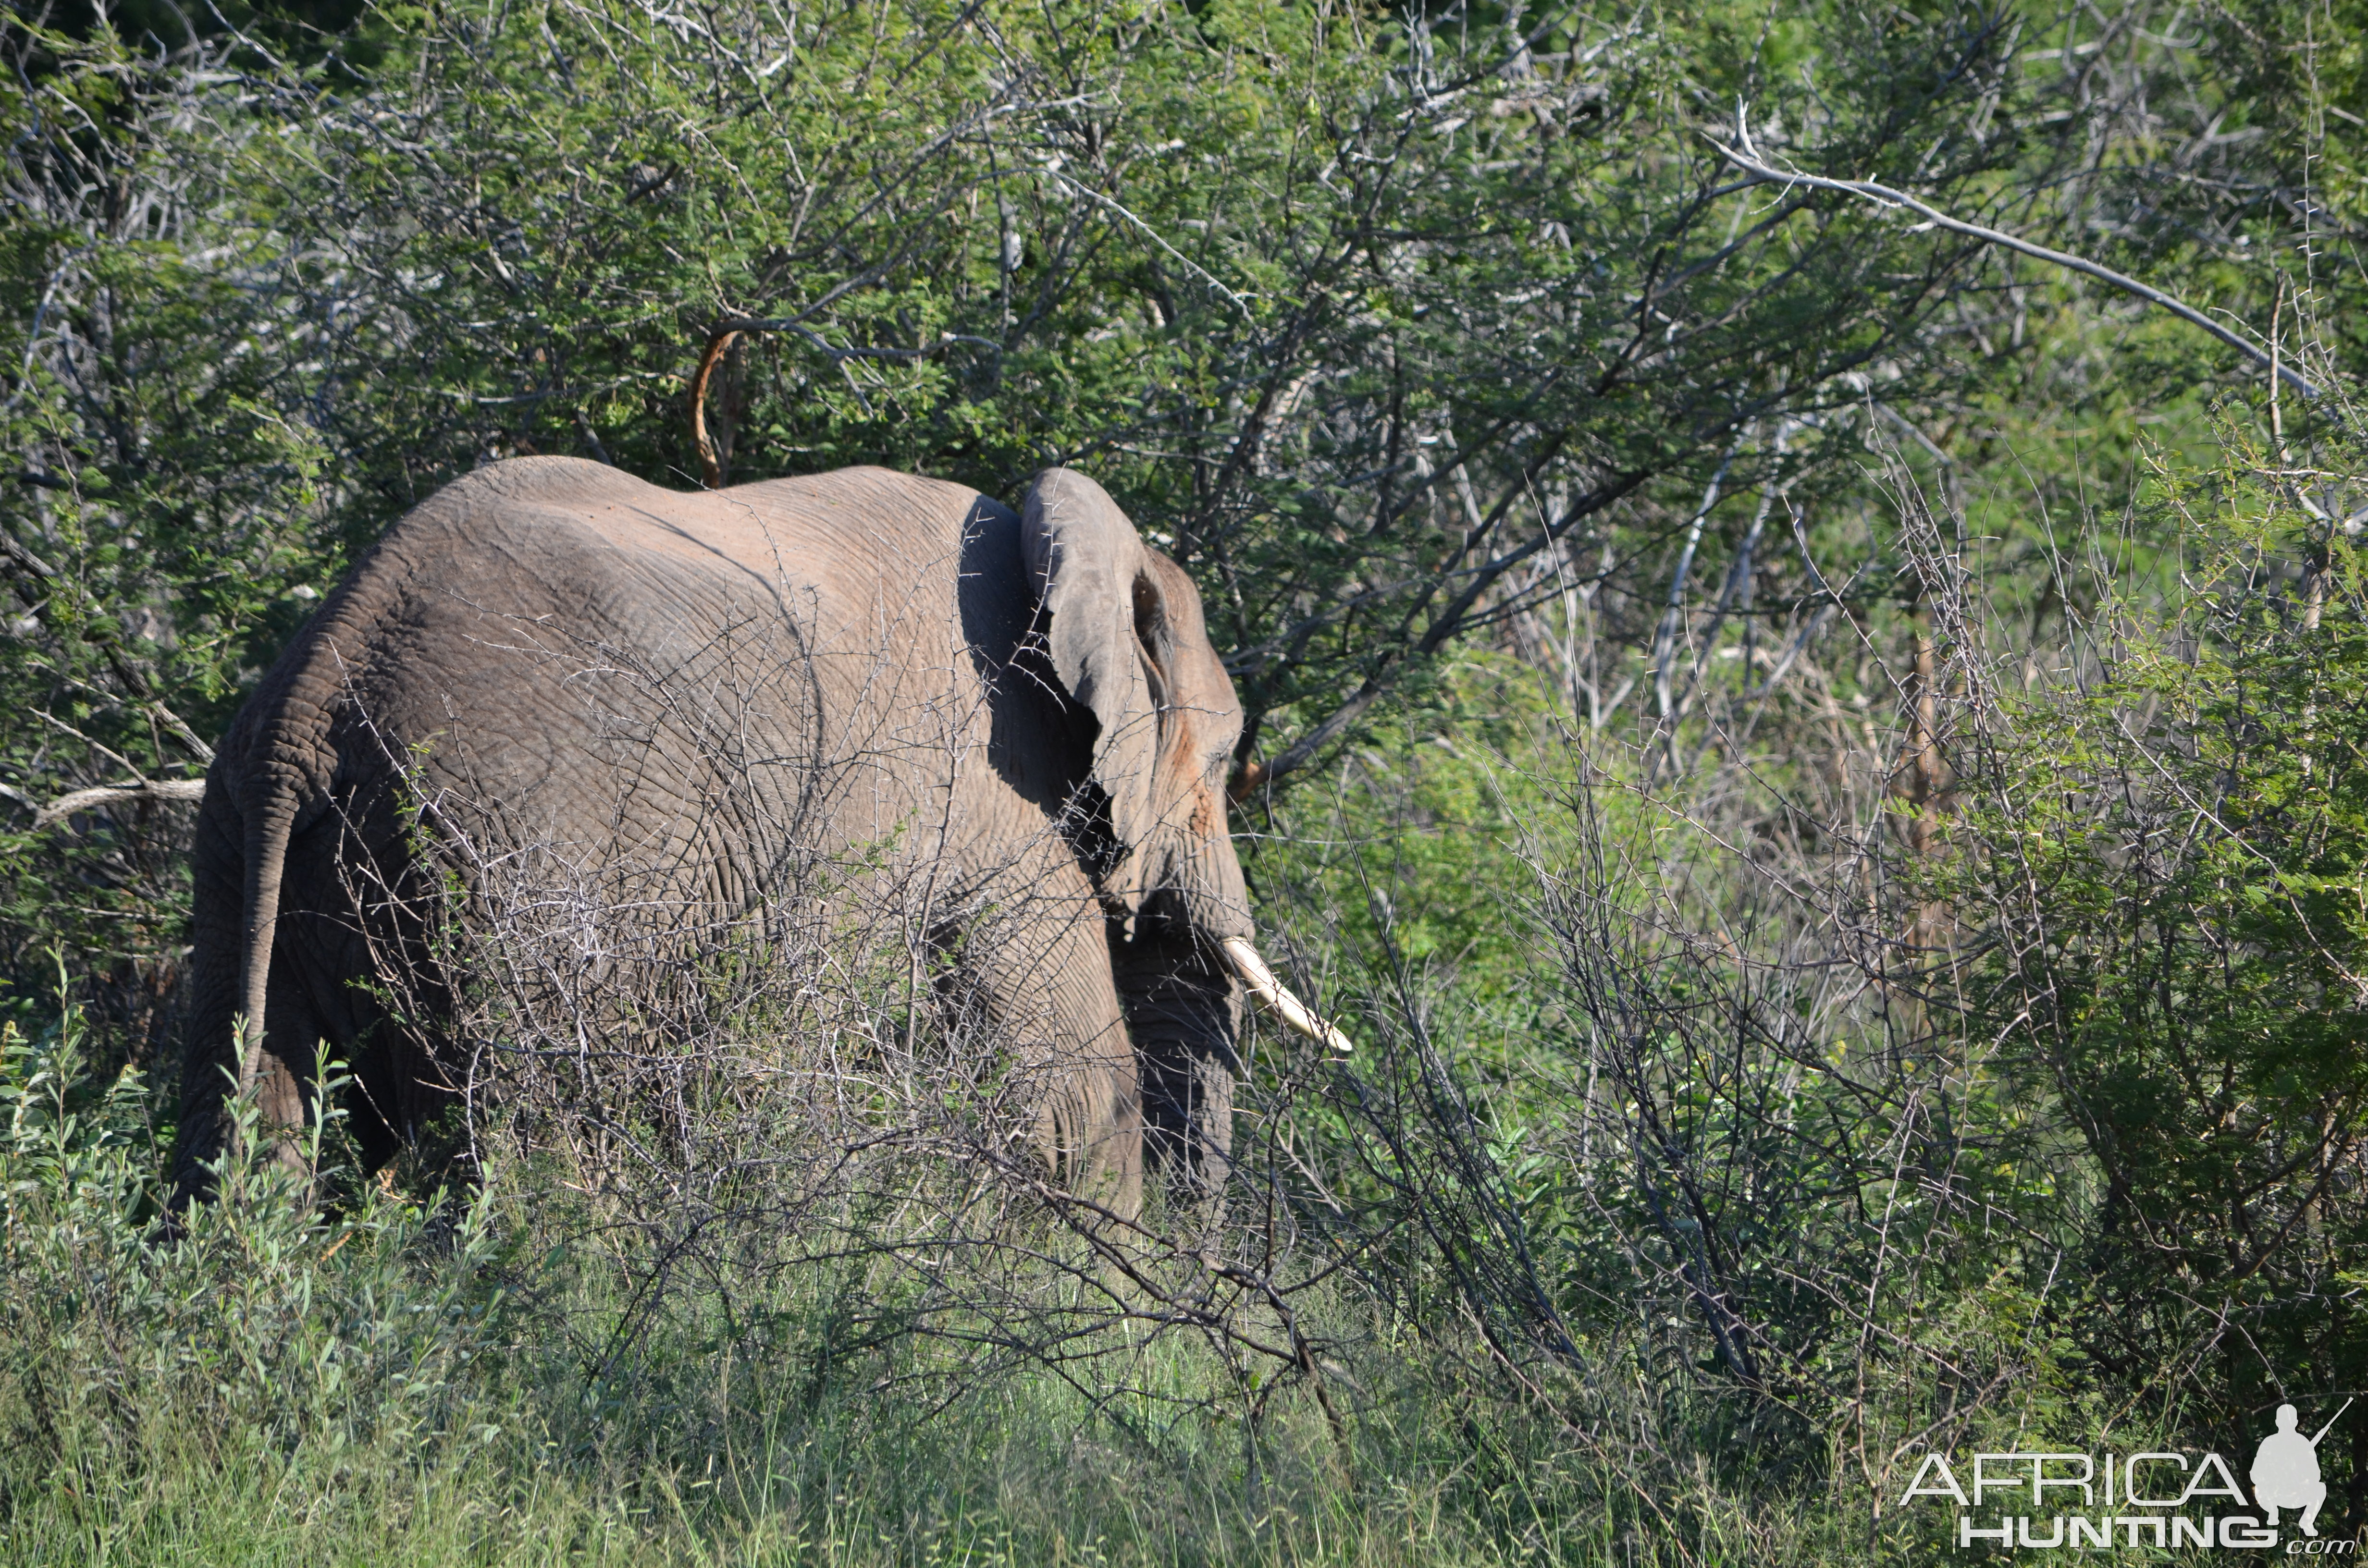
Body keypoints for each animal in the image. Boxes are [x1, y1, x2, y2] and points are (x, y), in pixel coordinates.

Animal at [173, 454, 1345, 1213]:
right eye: (1222, 759)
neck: (1050, 542)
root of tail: (321, 688)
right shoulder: (994, 804)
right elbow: (1074, 1095)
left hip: (237, 854)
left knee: (243, 1109)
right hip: (513, 858)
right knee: (534, 1123)